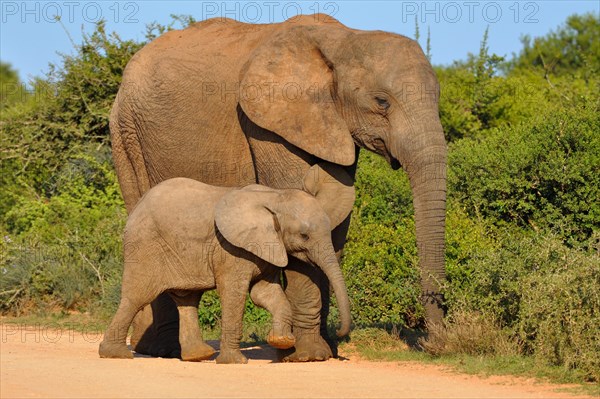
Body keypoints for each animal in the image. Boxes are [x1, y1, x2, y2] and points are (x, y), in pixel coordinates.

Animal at [98, 180, 352, 364]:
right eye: (304, 236)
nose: (340, 334)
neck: (275, 197)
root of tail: (137, 206)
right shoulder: (232, 249)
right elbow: (234, 294)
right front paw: (235, 362)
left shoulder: (268, 247)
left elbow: (264, 293)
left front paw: (281, 341)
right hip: (144, 246)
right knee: (137, 297)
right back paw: (116, 354)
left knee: (187, 299)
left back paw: (199, 356)